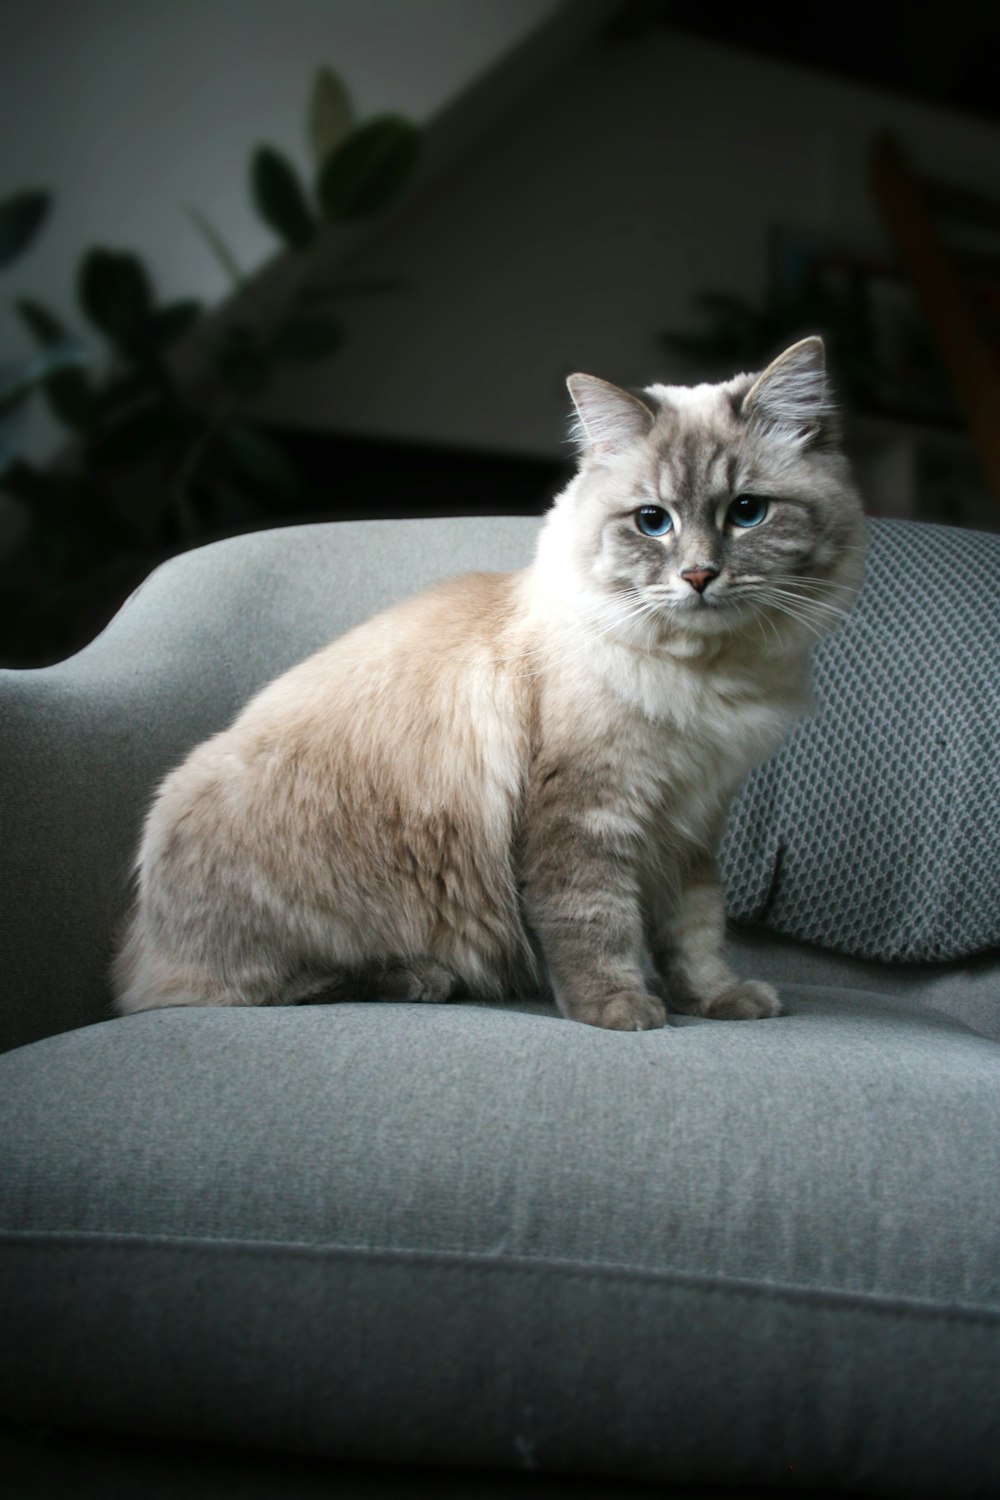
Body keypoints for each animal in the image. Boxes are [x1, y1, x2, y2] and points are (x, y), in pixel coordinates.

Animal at [115, 333, 869, 1026]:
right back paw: (422, 979)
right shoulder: (587, 816)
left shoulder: (693, 825)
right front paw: (623, 1011)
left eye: (747, 513)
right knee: (261, 989)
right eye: (653, 522)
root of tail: (140, 944)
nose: (699, 576)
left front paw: (716, 1000)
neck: (706, 676)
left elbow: (696, 934)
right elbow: (598, 927)